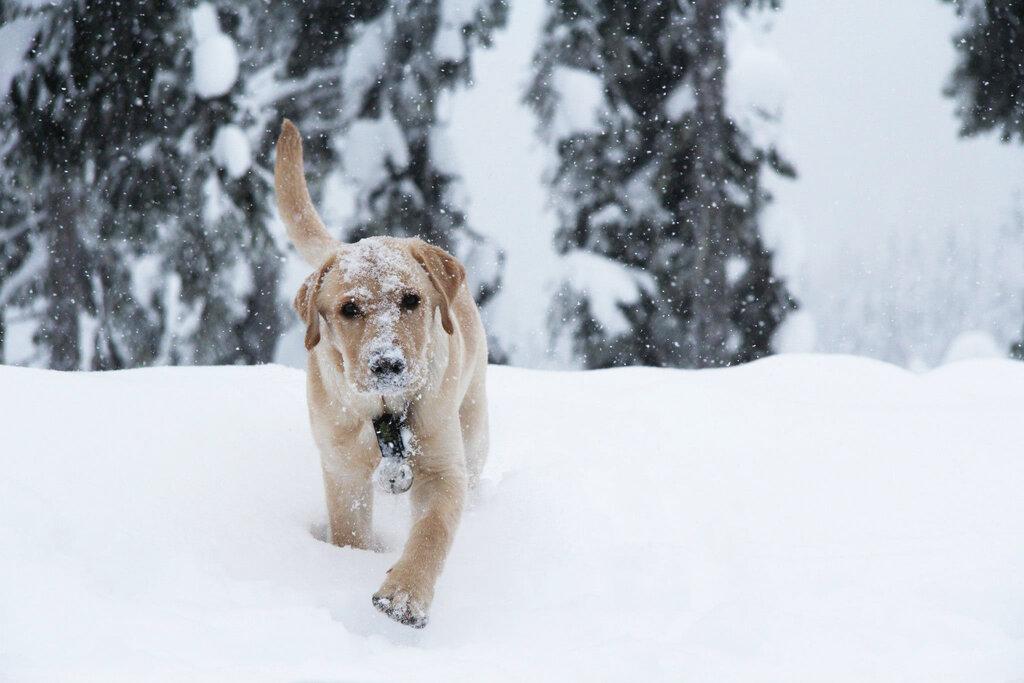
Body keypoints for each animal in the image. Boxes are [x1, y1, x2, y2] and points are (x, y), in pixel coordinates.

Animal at [276, 120, 487, 626]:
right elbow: (350, 534)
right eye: (349, 309)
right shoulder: (343, 472)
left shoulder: (443, 469)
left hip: (475, 426)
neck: (387, 414)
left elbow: (432, 532)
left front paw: (405, 594)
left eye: (411, 300)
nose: (387, 363)